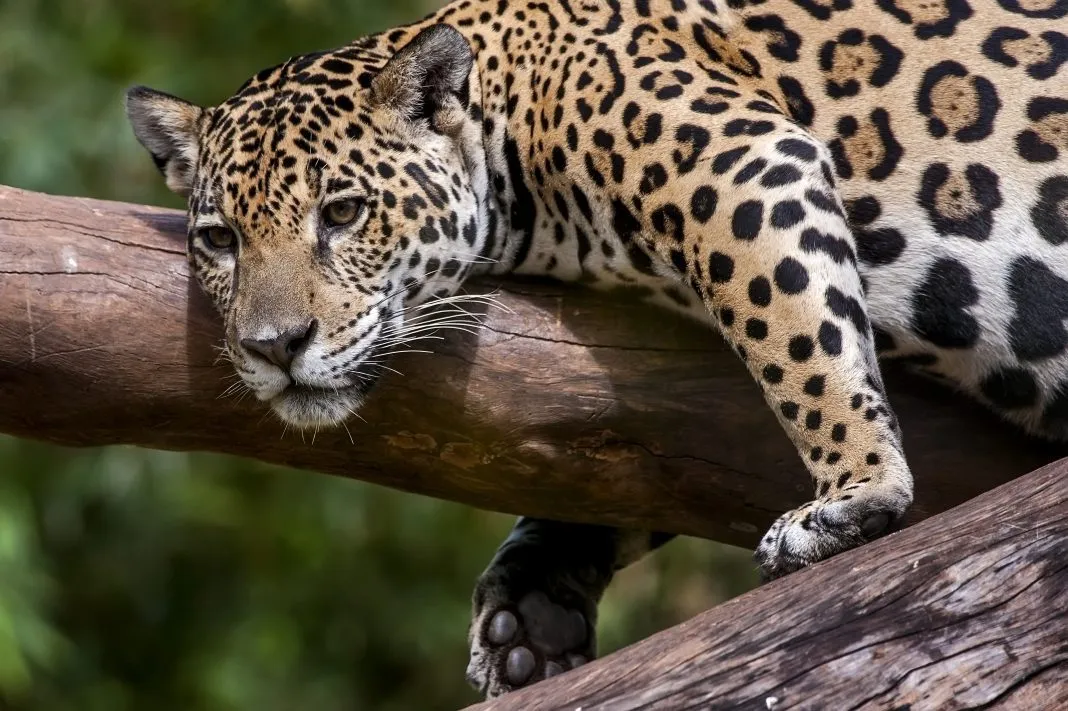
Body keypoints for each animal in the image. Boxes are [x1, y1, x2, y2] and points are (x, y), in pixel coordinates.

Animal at [125, 0, 1068, 699]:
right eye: (219, 240)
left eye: (344, 213)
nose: (274, 345)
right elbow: (643, 459)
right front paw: (531, 609)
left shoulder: (742, 166)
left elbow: (796, 339)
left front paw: (855, 492)